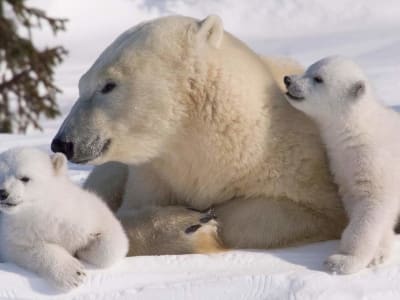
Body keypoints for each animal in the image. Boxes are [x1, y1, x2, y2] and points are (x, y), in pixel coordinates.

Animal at [0, 148, 127, 290]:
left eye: (25, 178)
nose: (2, 193)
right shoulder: (15, 230)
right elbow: (21, 249)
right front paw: (73, 273)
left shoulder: (84, 214)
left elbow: (113, 239)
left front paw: (85, 248)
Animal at [51, 13, 346, 253]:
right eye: (81, 84)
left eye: (108, 85)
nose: (63, 143)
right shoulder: (154, 175)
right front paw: (188, 224)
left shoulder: (298, 165)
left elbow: (303, 211)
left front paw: (203, 221)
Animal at [282, 56, 398, 274]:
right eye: (308, 69)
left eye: (318, 79)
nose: (288, 79)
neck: (357, 130)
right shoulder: (342, 165)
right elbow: (357, 201)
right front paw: (379, 252)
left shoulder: (374, 160)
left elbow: (371, 205)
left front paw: (342, 261)